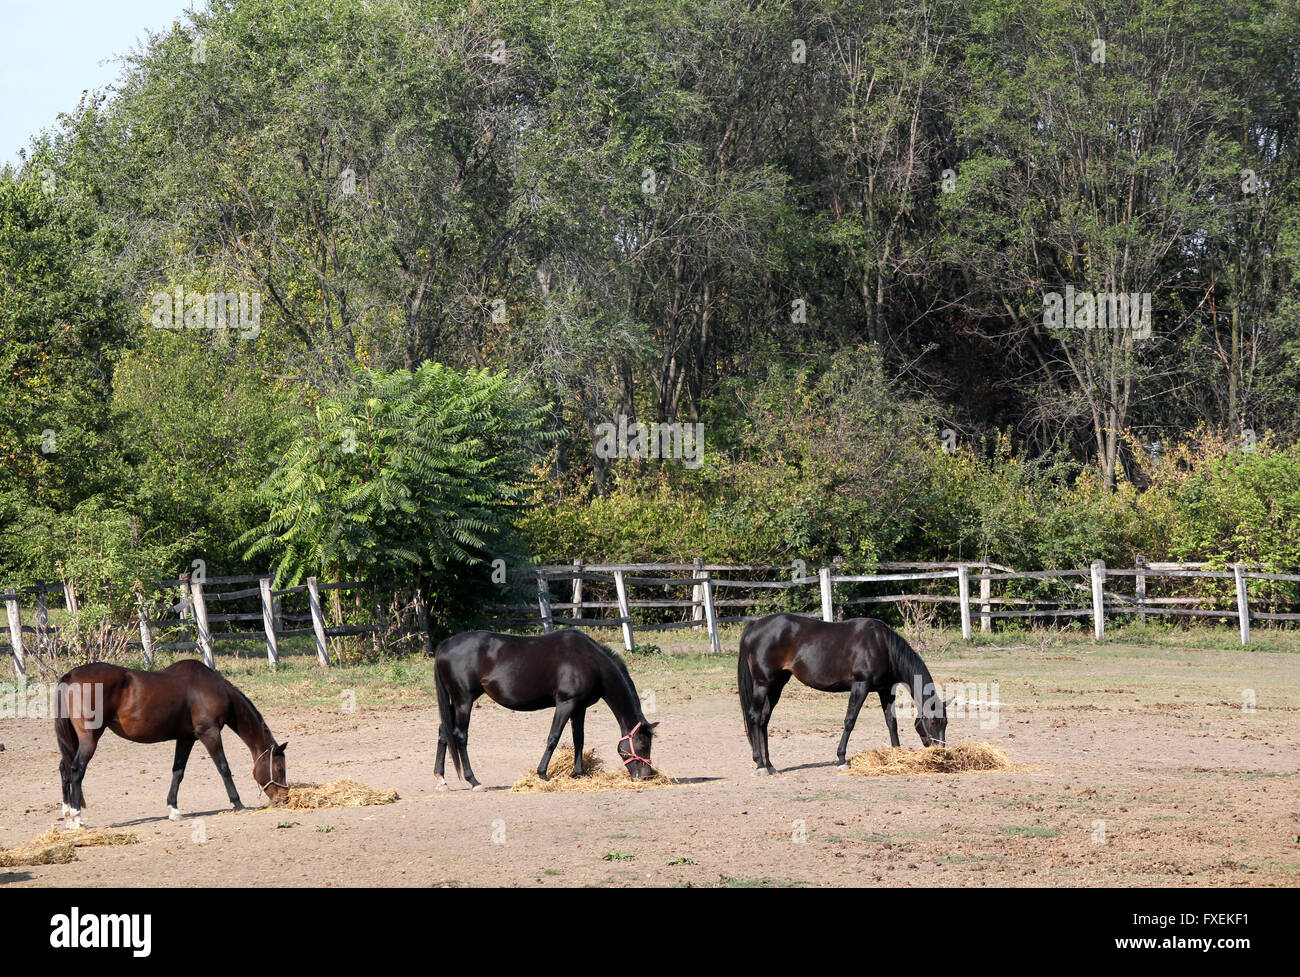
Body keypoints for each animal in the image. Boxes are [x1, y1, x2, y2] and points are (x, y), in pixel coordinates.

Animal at [55, 657, 287, 826]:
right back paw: (77, 817)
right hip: (89, 738)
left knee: (64, 768)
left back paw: (67, 813)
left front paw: (174, 810)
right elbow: (224, 768)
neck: (210, 688)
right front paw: (238, 803)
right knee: (76, 770)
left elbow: (178, 771)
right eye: (279, 768)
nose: (283, 798)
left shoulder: (186, 738)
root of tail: (70, 675)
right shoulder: (209, 734)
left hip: (74, 739)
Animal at [436, 628, 660, 789]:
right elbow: (553, 738)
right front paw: (543, 773)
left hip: (455, 702)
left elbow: (579, 739)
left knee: (443, 731)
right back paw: (473, 780)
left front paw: (579, 773)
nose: (646, 776)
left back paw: (441, 779)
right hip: (464, 701)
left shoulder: (579, 707)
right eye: (642, 745)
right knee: (460, 736)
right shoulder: (565, 704)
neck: (591, 660)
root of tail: (444, 646)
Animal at [738, 613, 951, 774]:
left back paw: (770, 765)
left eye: (945, 722)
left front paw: (896, 753)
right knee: (755, 717)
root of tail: (755, 624)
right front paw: (841, 759)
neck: (882, 645)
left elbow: (891, 722)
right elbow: (850, 720)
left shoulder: (885, 690)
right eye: (932, 721)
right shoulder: (860, 686)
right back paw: (760, 765)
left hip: (777, 685)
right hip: (763, 684)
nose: (941, 752)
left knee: (764, 720)